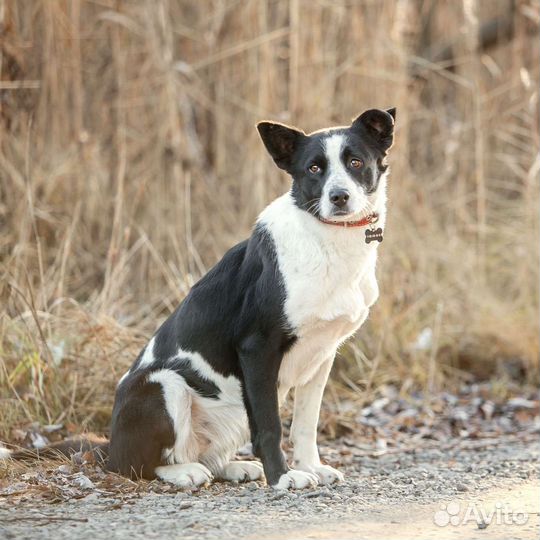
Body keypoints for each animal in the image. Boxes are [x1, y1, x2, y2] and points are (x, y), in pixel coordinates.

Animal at [2, 106, 396, 490]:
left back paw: (232, 467)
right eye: (314, 168)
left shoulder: (322, 353)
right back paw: (182, 473)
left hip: (232, 413)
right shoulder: (257, 348)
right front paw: (283, 478)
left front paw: (312, 467)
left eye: (355, 162)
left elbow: (305, 425)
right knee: (135, 466)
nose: (339, 197)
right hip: (164, 385)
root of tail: (108, 446)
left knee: (202, 455)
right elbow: (271, 426)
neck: (326, 237)